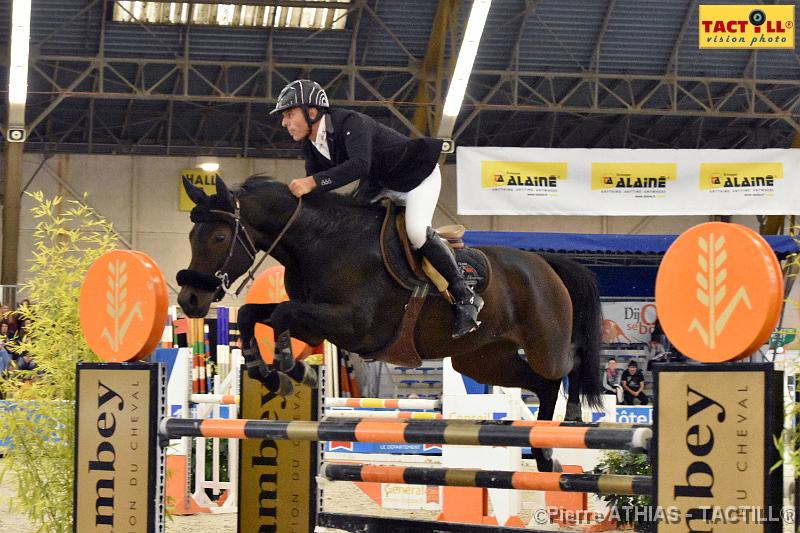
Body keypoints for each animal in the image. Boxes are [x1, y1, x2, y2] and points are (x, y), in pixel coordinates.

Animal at [175, 176, 600, 470]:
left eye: (218, 236)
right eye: (191, 235)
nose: (189, 301)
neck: (320, 242)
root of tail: (546, 263)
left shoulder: (355, 326)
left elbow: (280, 315)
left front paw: (293, 370)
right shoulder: (315, 322)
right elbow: (254, 315)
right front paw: (272, 374)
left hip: (545, 343)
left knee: (568, 366)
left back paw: (572, 421)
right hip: (483, 360)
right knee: (542, 385)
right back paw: (544, 454)